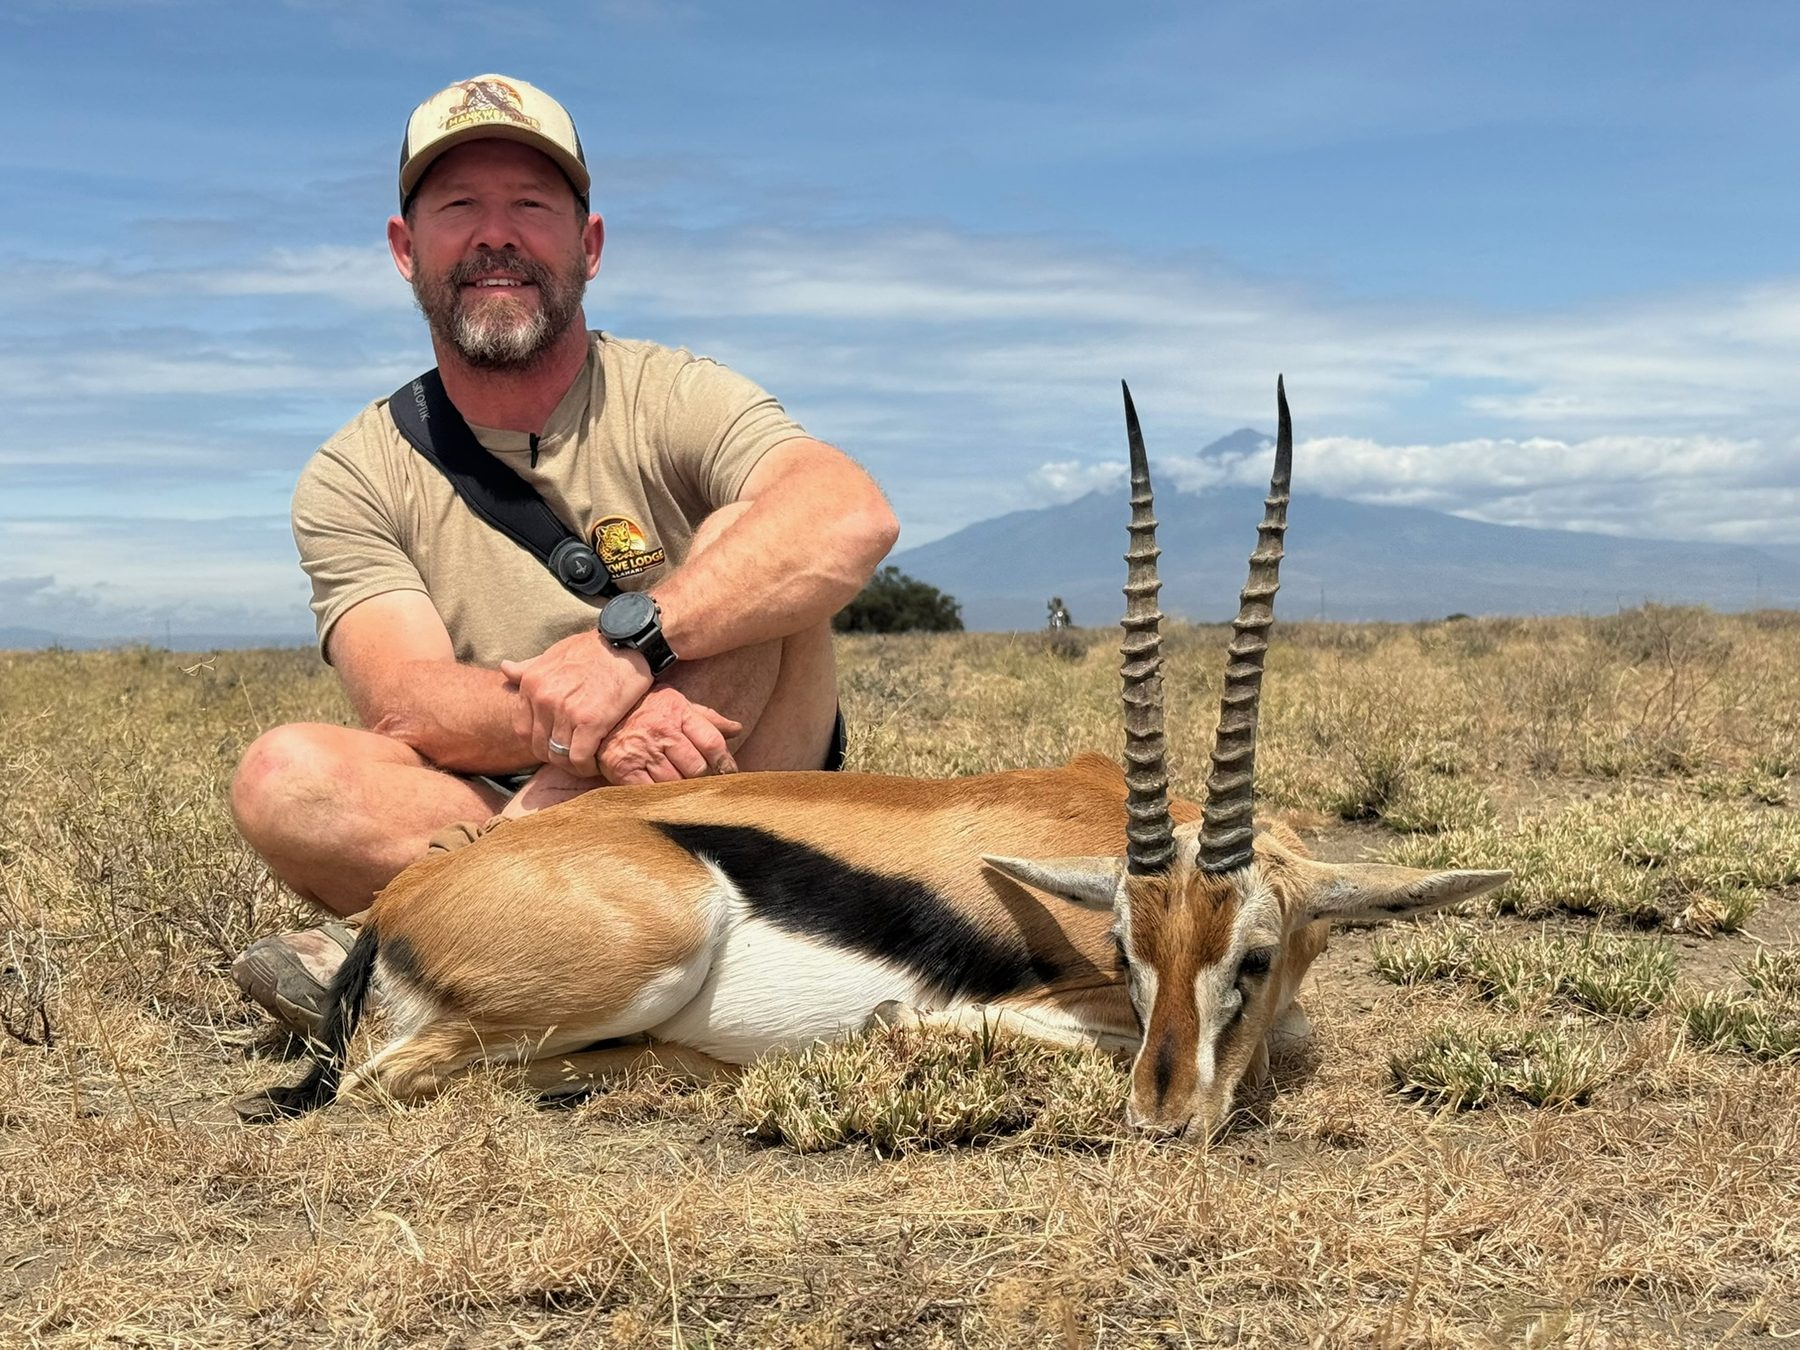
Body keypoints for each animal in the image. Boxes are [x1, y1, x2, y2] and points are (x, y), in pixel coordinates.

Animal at [254, 380, 1509, 1137]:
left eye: (1251, 953)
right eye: (1123, 945)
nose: (1163, 1117)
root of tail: (404, 901)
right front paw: (902, 1030)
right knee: (395, 1083)